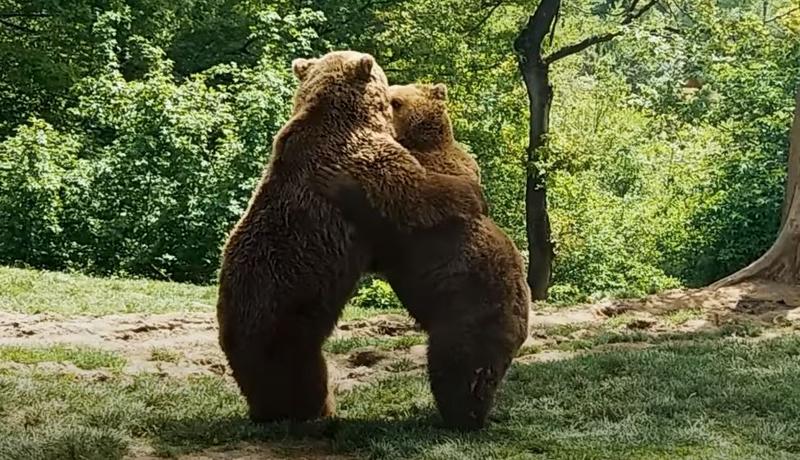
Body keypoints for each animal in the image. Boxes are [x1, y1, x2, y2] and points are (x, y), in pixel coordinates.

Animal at [216, 51, 484, 424]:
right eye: (389, 88)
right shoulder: (362, 160)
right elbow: (415, 191)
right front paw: (471, 192)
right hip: (283, 317)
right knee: (303, 375)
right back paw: (318, 410)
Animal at [312, 82, 532, 432]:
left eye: (395, 99)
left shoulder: (416, 199)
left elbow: (403, 201)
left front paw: (335, 178)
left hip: (465, 318)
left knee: (455, 371)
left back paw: (459, 418)